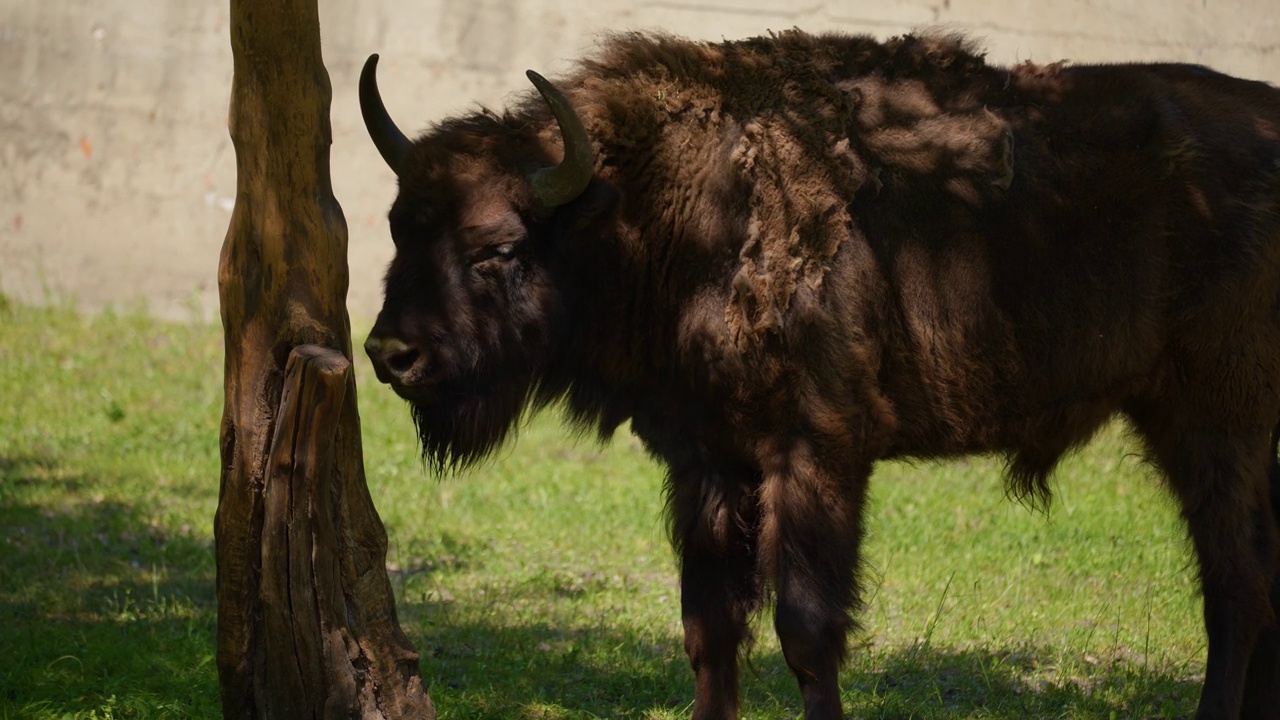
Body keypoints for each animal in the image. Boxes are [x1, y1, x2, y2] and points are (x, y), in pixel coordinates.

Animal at [355, 29, 1280, 717]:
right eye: (401, 228)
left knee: (1236, 581)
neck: (661, 213)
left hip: (1218, 418)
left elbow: (806, 630)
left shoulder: (816, 457)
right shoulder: (706, 462)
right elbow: (709, 628)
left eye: (497, 247)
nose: (392, 354)